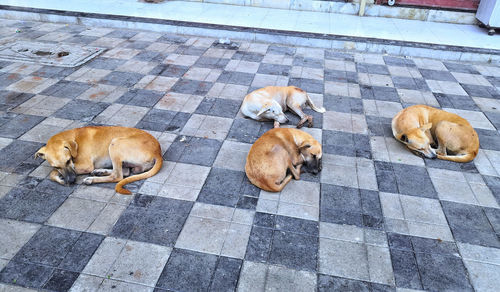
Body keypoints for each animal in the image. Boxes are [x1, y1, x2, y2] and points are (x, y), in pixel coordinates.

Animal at [35, 125, 164, 194]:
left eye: (68, 161)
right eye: (56, 165)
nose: (71, 180)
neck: (74, 138)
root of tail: (158, 152)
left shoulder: (85, 165)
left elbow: (51, 173)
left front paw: (61, 179)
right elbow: (53, 172)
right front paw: (61, 178)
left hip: (115, 143)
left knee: (118, 176)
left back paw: (91, 179)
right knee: (125, 172)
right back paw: (100, 171)